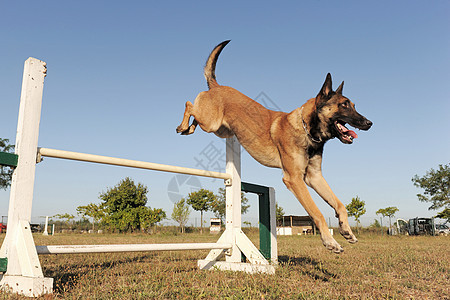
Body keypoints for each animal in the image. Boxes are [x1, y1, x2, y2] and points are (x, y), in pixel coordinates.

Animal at [177, 41, 372, 253]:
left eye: (353, 105)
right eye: (344, 105)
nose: (369, 123)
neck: (306, 129)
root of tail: (217, 86)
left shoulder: (314, 177)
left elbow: (339, 204)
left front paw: (346, 231)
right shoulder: (294, 179)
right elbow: (317, 212)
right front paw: (330, 241)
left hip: (221, 130)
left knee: (195, 114)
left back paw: (189, 128)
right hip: (210, 122)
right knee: (189, 104)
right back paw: (183, 126)